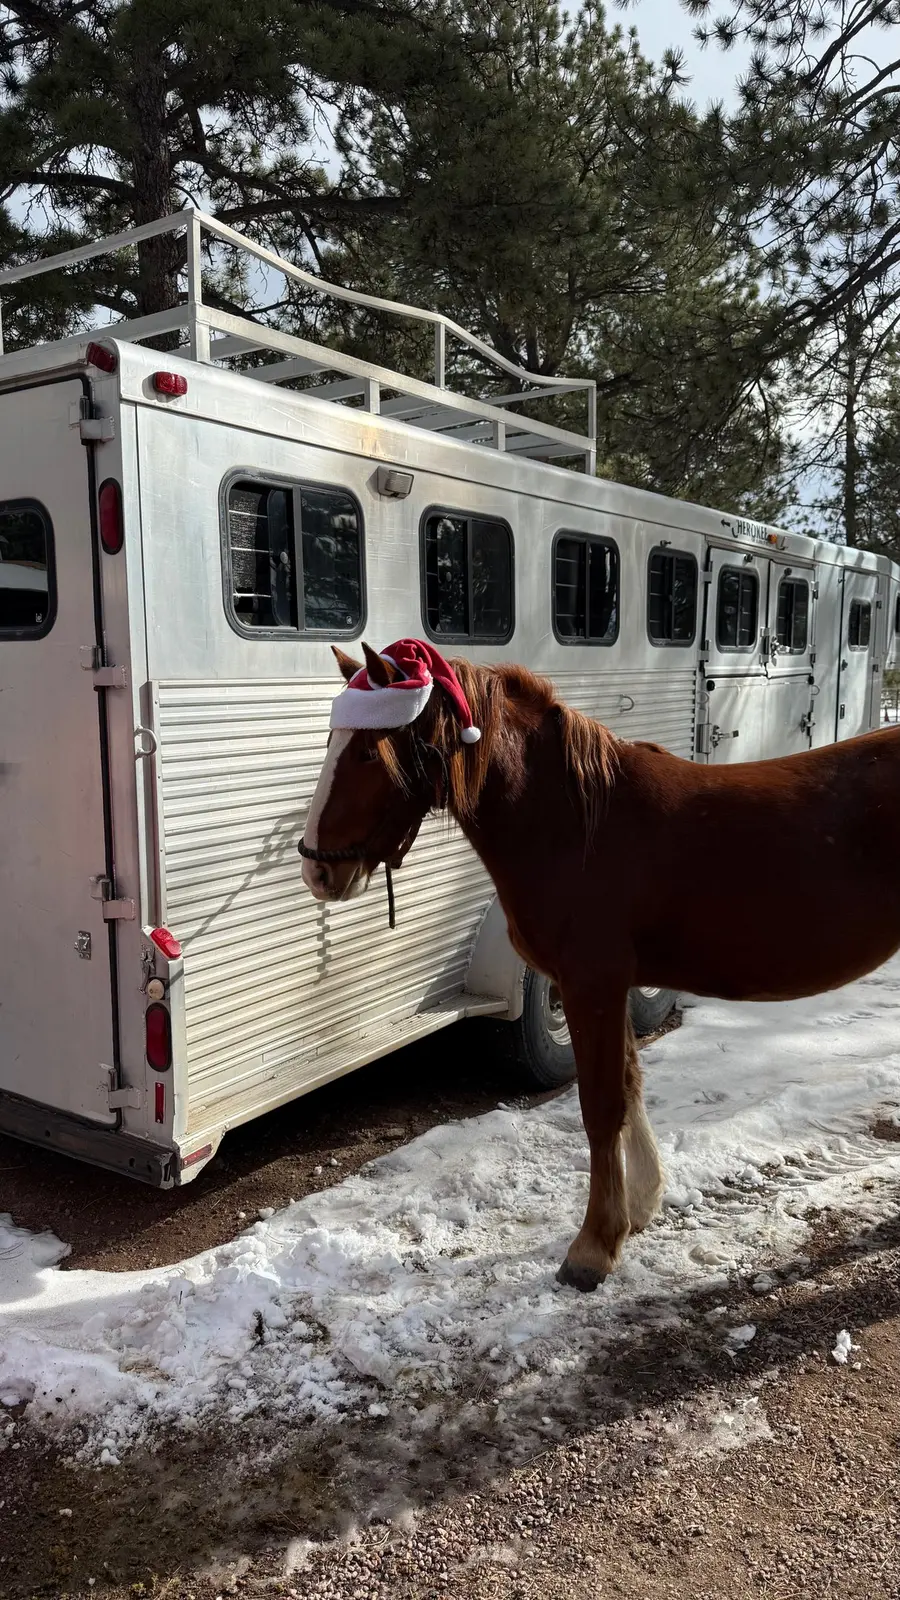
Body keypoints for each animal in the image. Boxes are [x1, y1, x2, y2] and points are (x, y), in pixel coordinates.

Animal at [299, 639, 900, 1291]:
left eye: (366, 750)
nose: (315, 869)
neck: (576, 827)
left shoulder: (592, 986)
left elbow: (600, 1107)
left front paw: (593, 1247)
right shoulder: (608, 988)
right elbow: (629, 1089)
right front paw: (640, 1208)